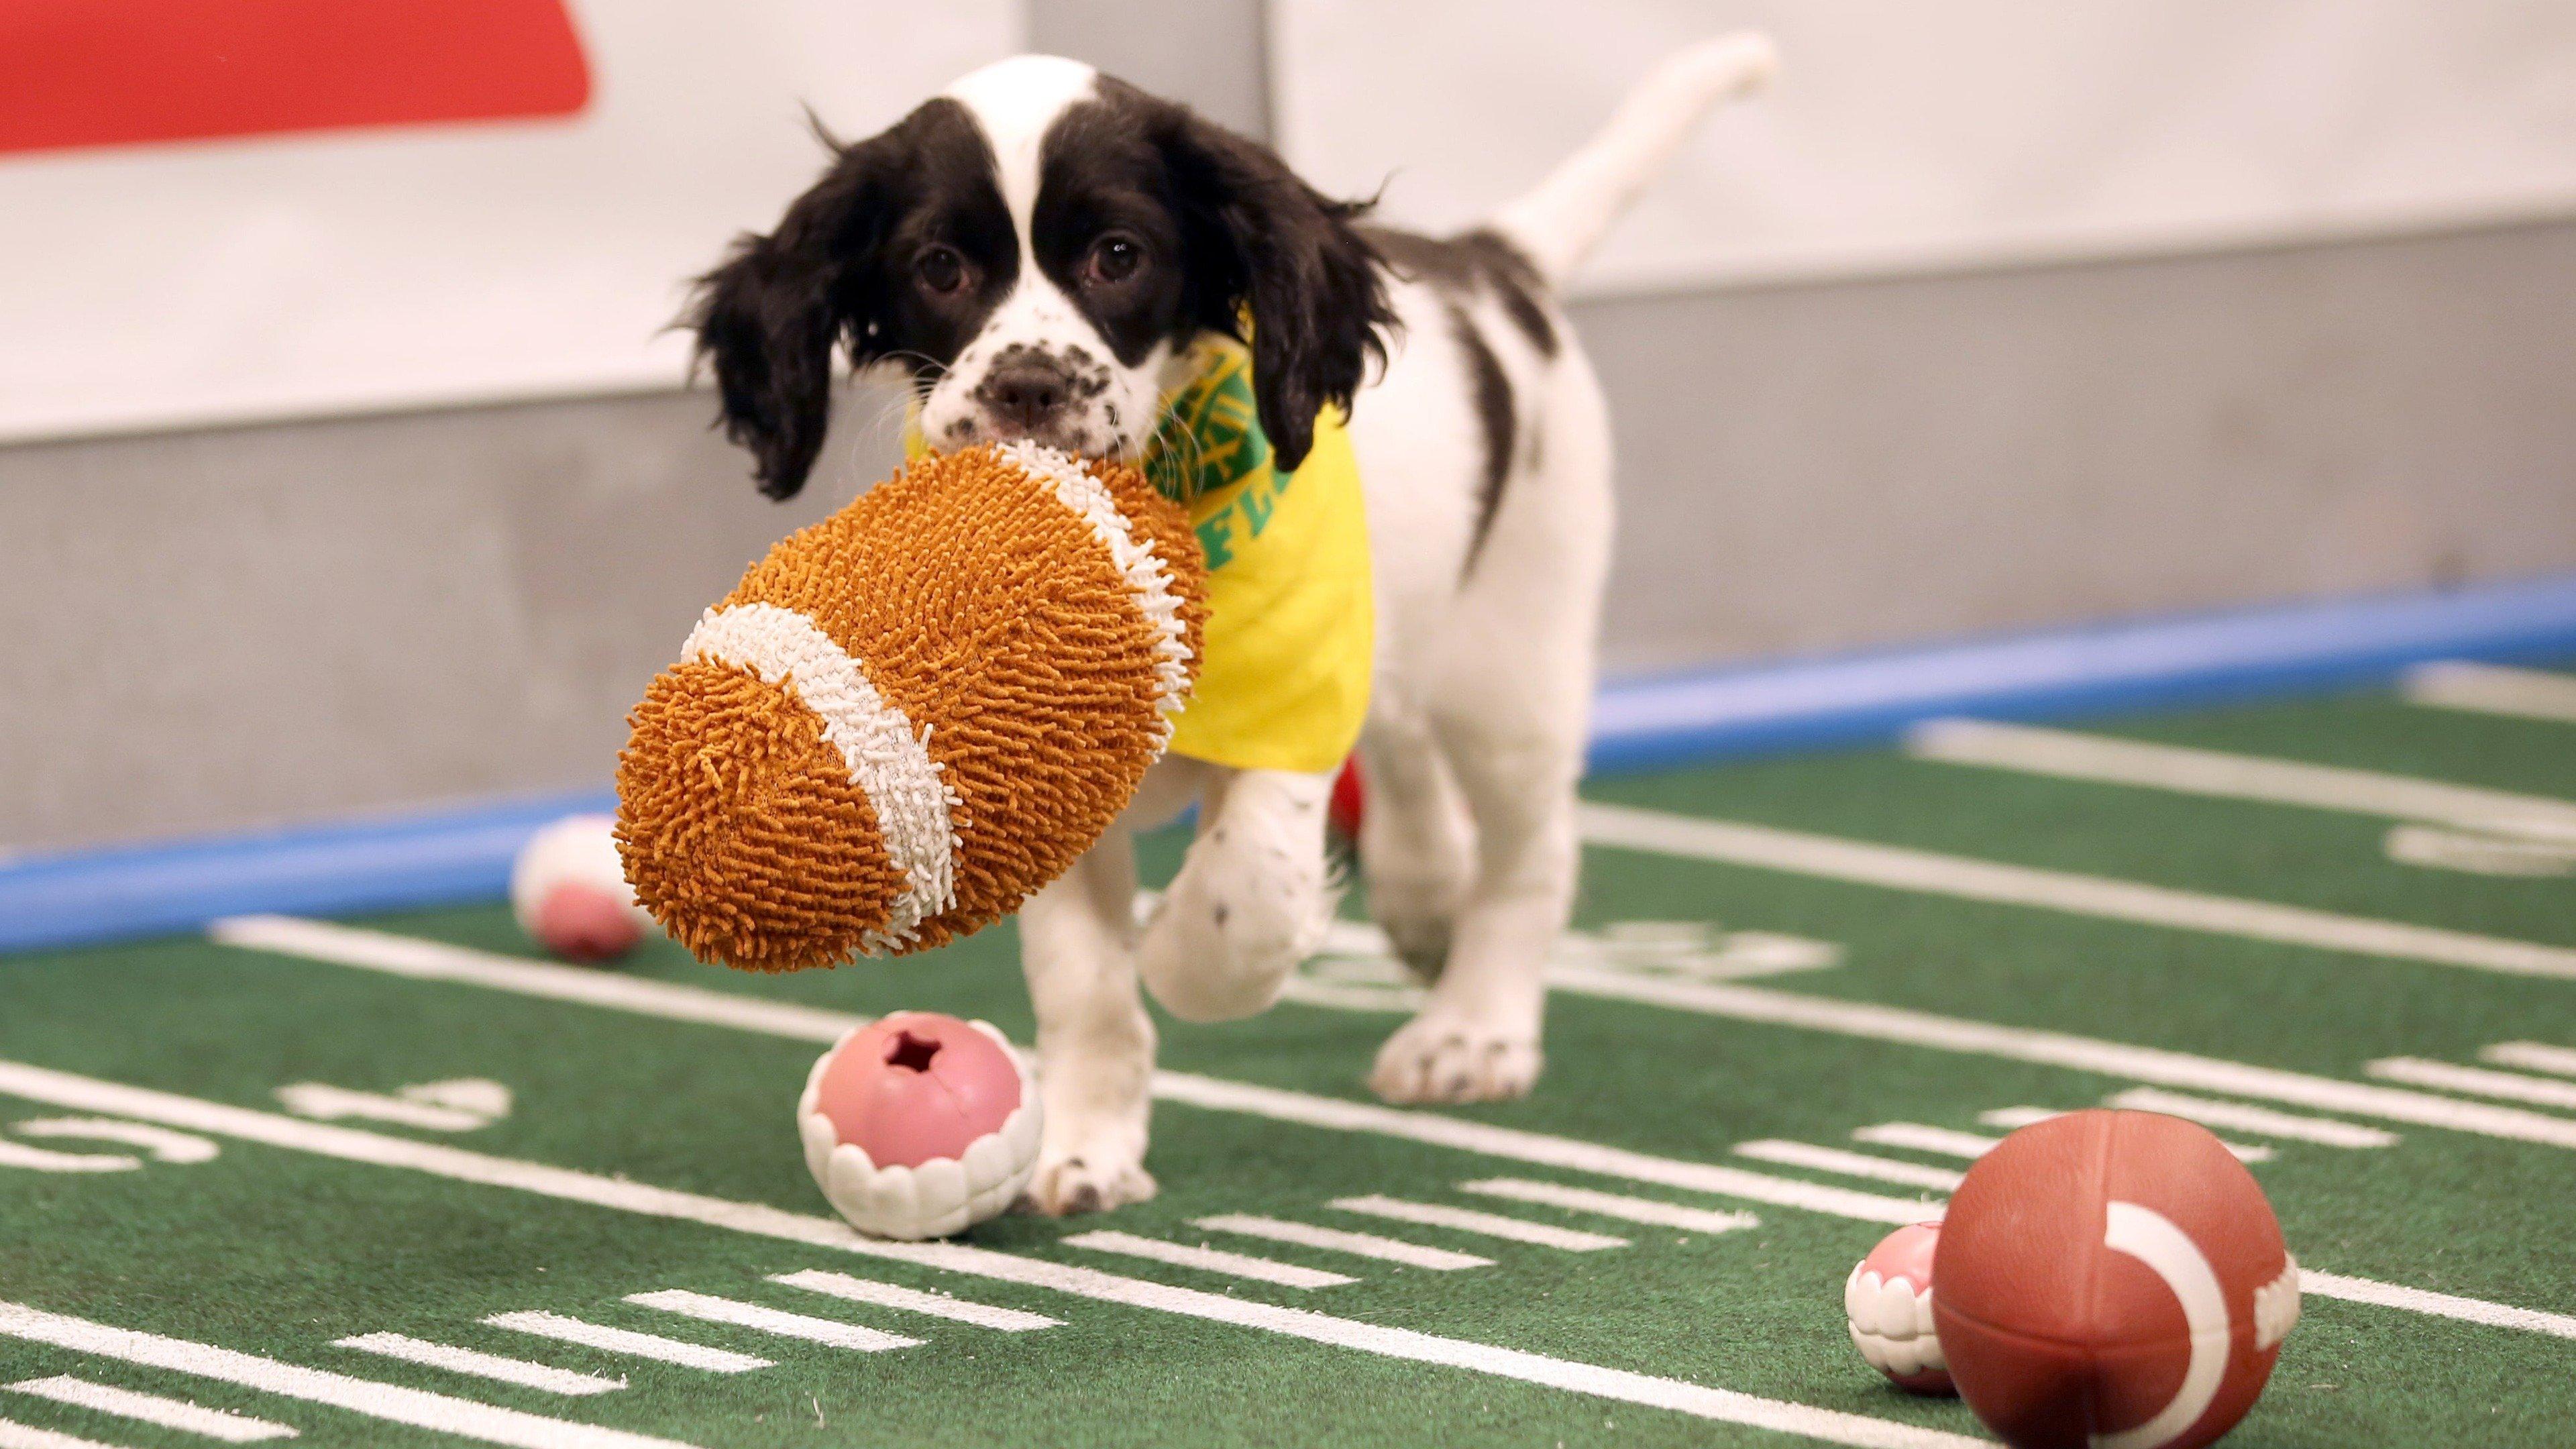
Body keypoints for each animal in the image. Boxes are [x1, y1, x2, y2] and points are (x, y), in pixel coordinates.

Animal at [685, 31, 1772, 1206]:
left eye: (1118, 254)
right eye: (939, 268)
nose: (1028, 386)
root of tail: (1494, 269)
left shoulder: (1293, 703)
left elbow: (1248, 885)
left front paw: (1182, 958)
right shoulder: (1044, 780)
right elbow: (1082, 983)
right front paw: (1084, 1148)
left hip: (1515, 659)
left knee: (1532, 850)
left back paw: (1474, 1028)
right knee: (1407, 757)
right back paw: (1425, 899)